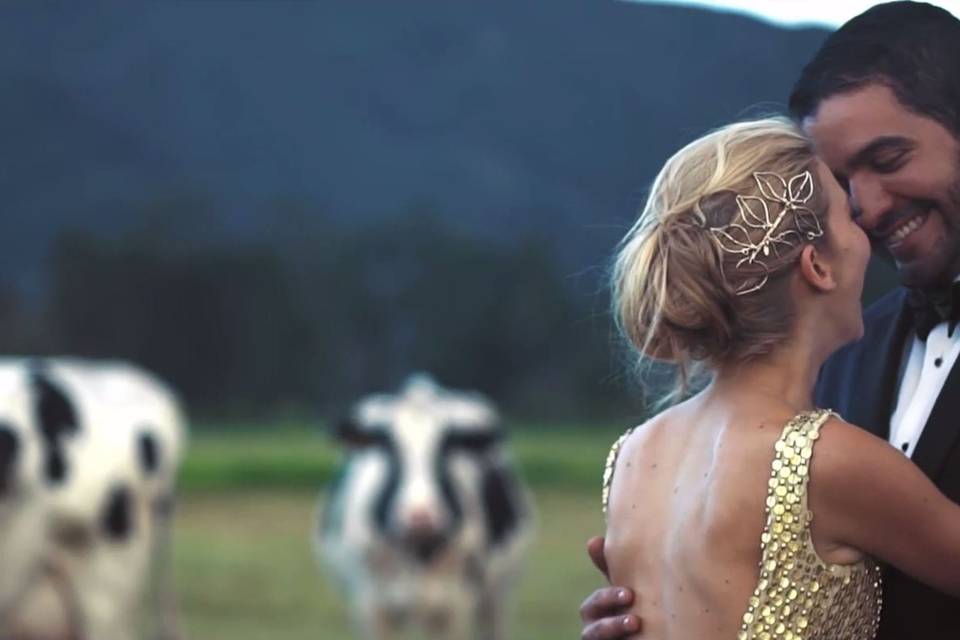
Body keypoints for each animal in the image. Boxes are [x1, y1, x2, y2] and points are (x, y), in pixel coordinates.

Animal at [318, 376, 536, 640]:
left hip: (497, 597)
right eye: (388, 447)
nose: (421, 518)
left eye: (448, 446)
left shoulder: (454, 606)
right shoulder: (372, 606)